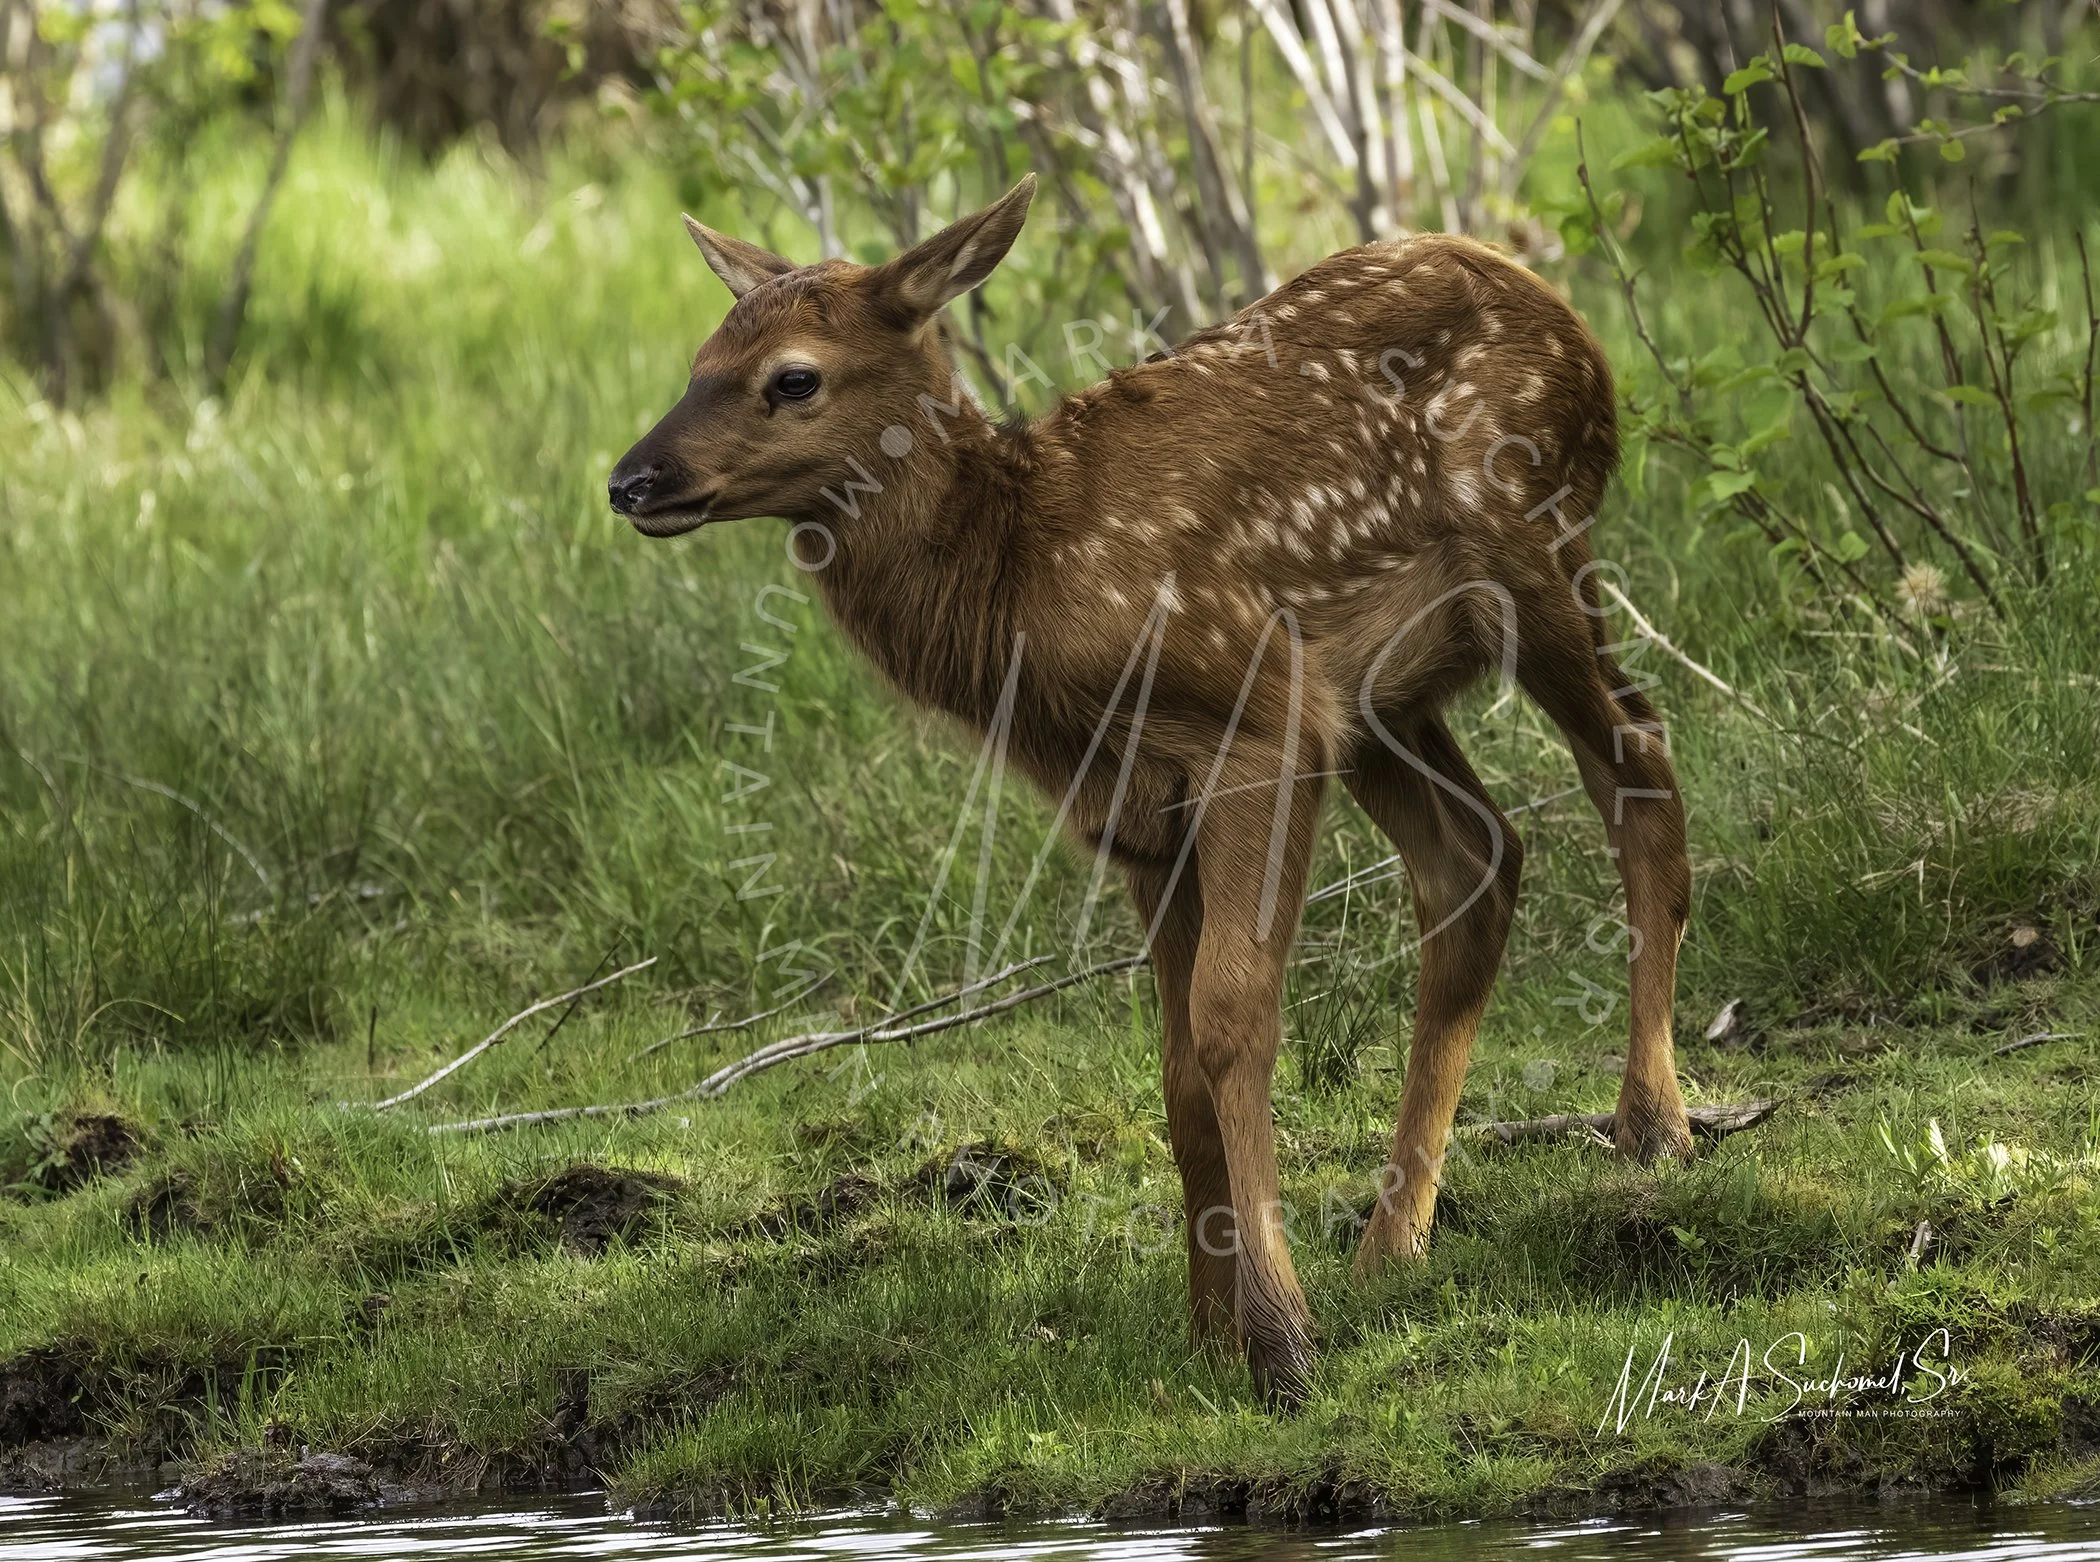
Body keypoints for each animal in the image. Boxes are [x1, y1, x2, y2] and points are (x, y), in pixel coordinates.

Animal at [608, 176, 1694, 1408]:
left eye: (792, 376)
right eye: (699, 358)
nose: (631, 480)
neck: (1022, 590)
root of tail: (1573, 326)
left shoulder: (1256, 725)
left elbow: (1231, 1021)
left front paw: (1281, 1341)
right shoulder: (1132, 815)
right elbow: (1174, 1068)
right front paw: (1207, 1333)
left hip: (1533, 553)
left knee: (1639, 759)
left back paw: (1653, 1125)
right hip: (1380, 696)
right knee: (1478, 857)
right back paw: (1391, 1245)